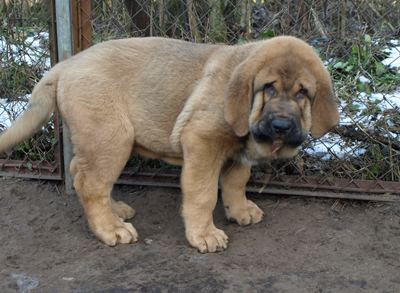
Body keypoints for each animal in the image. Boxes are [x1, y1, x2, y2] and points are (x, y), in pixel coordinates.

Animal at [0, 36, 340, 251]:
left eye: (302, 94)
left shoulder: (235, 154)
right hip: (111, 138)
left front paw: (240, 209)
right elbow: (203, 195)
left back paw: (115, 211)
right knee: (90, 183)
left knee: (82, 172)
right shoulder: (202, 143)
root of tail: (65, 65)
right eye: (268, 88)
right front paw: (204, 235)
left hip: (101, 140)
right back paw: (110, 228)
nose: (281, 126)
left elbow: (236, 182)